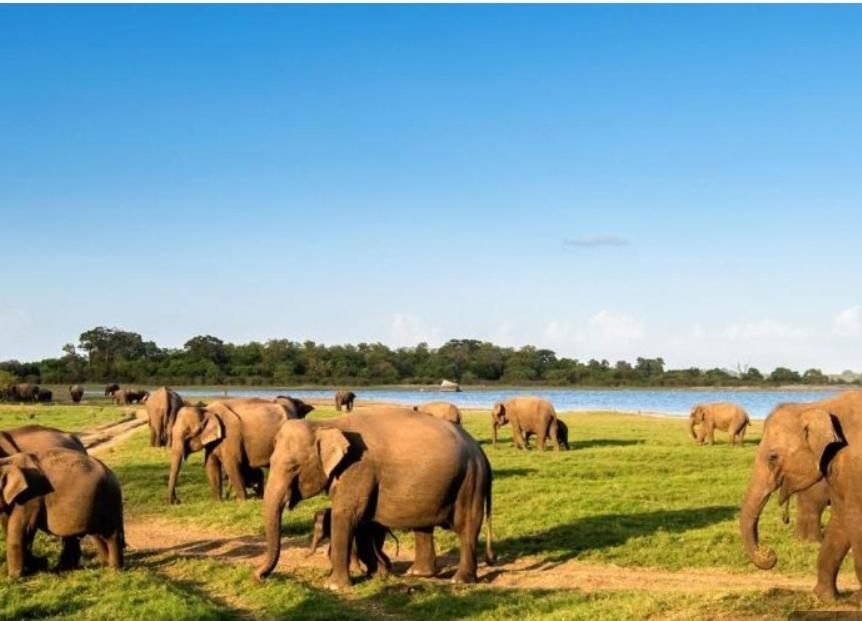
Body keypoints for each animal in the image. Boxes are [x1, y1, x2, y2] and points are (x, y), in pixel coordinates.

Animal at [0, 446, 125, 576]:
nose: (43, 561)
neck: (8, 461)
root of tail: (112, 473)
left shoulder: (31, 495)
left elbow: (23, 530)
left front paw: (15, 576)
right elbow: (9, 526)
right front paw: (36, 565)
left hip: (109, 499)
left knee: (110, 534)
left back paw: (114, 570)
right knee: (91, 534)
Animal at [167, 398, 296, 504]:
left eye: (187, 432)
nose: (177, 501)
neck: (207, 410)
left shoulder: (230, 435)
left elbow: (231, 463)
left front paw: (241, 502)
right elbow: (211, 465)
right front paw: (218, 502)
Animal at [740, 390, 862, 600]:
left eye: (772, 457)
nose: (770, 553)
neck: (816, 405)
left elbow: (856, 520)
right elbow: (840, 519)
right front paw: (824, 598)